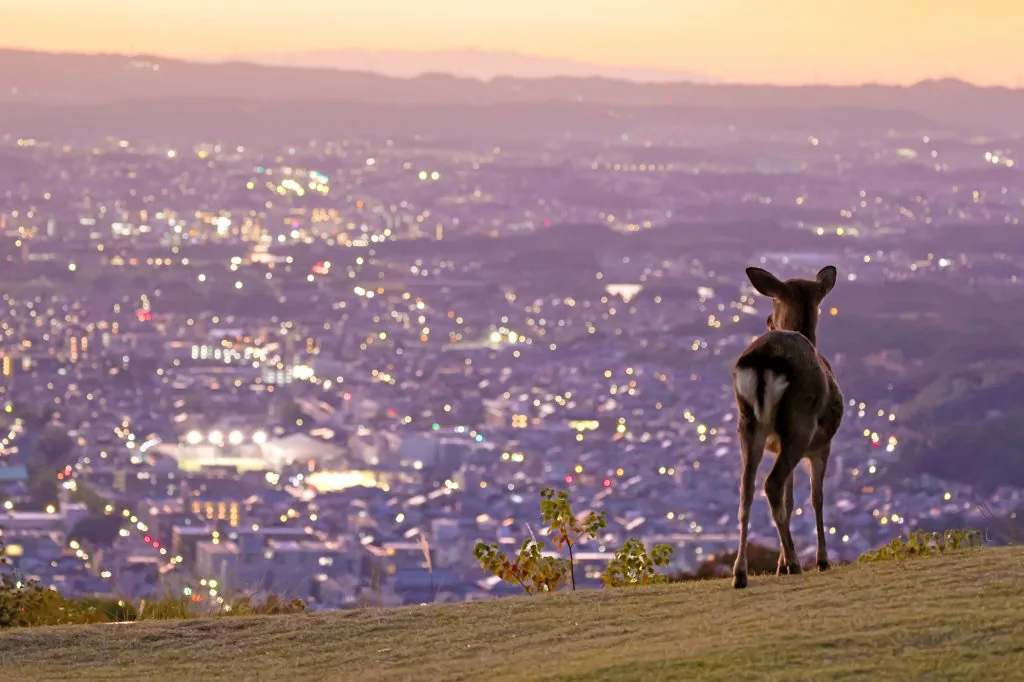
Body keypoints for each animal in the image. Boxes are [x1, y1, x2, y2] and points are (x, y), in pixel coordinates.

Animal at [730, 265, 843, 589]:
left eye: (773, 301)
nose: (768, 321)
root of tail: (763, 360)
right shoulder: (821, 446)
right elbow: (817, 498)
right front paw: (821, 560)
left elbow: (791, 501)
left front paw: (779, 564)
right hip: (799, 425)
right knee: (772, 484)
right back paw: (795, 563)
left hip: (748, 425)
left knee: (748, 489)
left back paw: (740, 572)